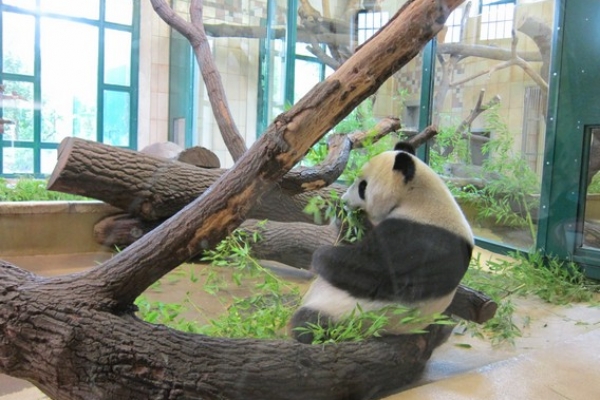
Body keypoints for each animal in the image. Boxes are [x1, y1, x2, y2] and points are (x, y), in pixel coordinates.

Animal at [290, 141, 474, 344]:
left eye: (362, 186)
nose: (345, 201)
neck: (420, 199)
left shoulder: (420, 238)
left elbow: (372, 270)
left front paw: (320, 256)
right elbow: (360, 238)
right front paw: (344, 216)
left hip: (350, 316)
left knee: (312, 322)